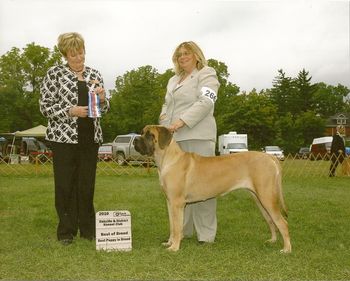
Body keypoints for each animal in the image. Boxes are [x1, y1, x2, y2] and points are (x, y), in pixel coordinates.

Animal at [133, 124, 292, 252]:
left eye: (150, 135)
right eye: (142, 132)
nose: (135, 140)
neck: (168, 158)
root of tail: (270, 157)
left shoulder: (177, 203)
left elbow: (177, 227)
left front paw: (174, 247)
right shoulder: (169, 202)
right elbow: (172, 225)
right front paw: (169, 243)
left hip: (267, 197)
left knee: (282, 222)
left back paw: (286, 249)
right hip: (259, 199)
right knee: (271, 221)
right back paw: (272, 240)